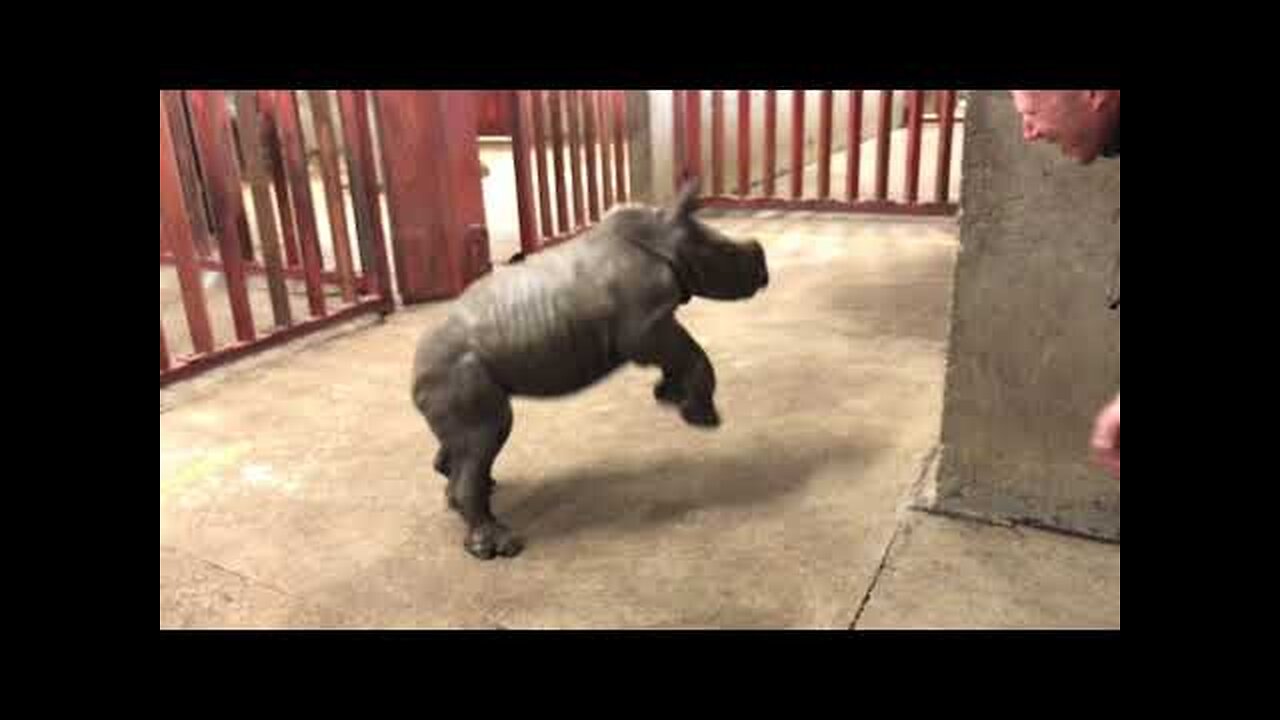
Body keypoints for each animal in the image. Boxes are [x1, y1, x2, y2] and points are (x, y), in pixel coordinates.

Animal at [414, 176, 762, 558]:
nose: (764, 273)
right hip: (455, 371)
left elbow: (682, 354)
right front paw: (702, 418)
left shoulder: (653, 326)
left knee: (466, 441)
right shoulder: (645, 326)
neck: (667, 236)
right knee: (488, 432)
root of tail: (413, 374)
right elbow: (694, 354)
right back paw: (500, 545)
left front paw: (669, 396)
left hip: (450, 374)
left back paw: (474, 493)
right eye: (728, 254)